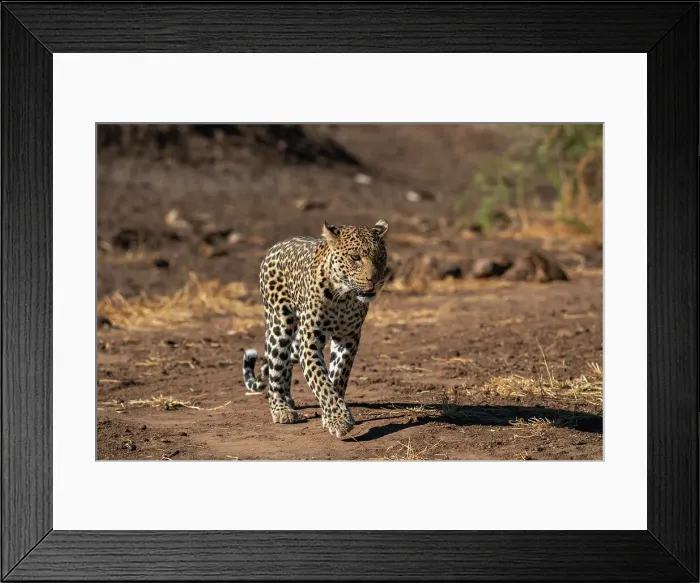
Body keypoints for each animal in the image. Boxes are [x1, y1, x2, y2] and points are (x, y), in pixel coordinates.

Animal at [242, 219, 389, 438]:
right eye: (355, 258)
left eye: (380, 257)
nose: (375, 280)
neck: (344, 298)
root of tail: (275, 246)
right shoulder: (310, 342)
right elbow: (321, 381)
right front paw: (339, 420)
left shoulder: (348, 338)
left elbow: (338, 375)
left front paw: (331, 415)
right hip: (280, 324)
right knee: (276, 367)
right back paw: (281, 409)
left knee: (286, 364)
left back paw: (288, 399)